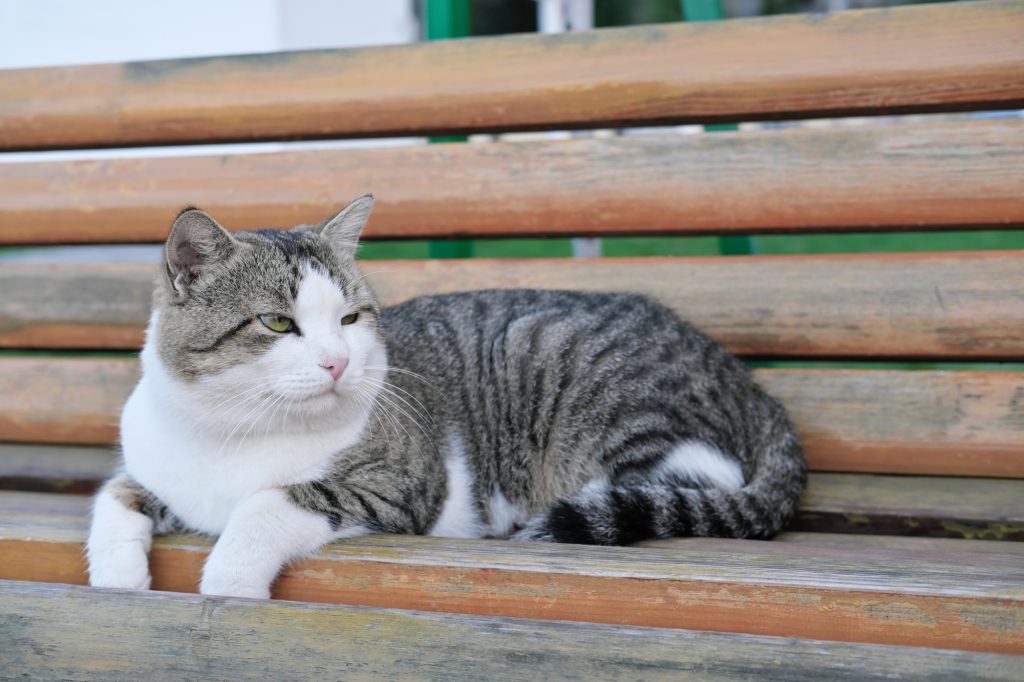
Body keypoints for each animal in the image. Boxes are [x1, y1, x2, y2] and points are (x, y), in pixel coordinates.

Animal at [86, 195, 806, 593]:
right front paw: (118, 581)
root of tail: (741, 378)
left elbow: (271, 503)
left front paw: (230, 583)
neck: (234, 429)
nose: (338, 361)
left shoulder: (400, 483)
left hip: (564, 363)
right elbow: (114, 498)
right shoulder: (153, 467)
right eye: (277, 323)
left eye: (351, 318)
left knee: (698, 482)